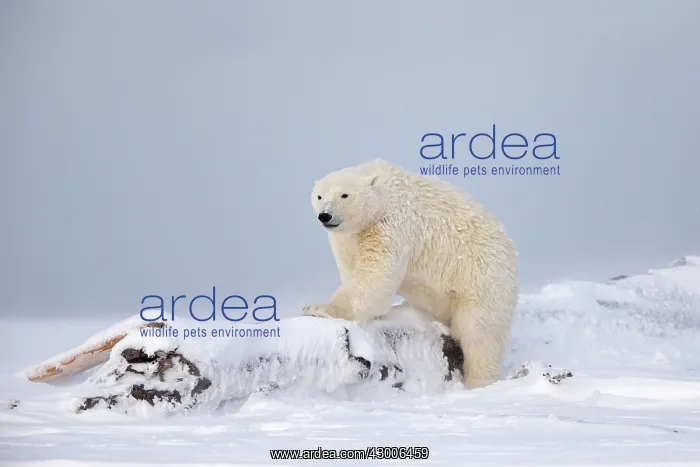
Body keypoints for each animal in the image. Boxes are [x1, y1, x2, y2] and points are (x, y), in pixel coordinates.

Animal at [303, 159, 518, 388]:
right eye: (320, 196)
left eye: (344, 195)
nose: (325, 215)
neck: (382, 196)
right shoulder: (347, 239)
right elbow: (352, 268)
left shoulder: (391, 223)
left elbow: (375, 272)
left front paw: (319, 308)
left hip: (481, 277)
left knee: (479, 333)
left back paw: (478, 381)